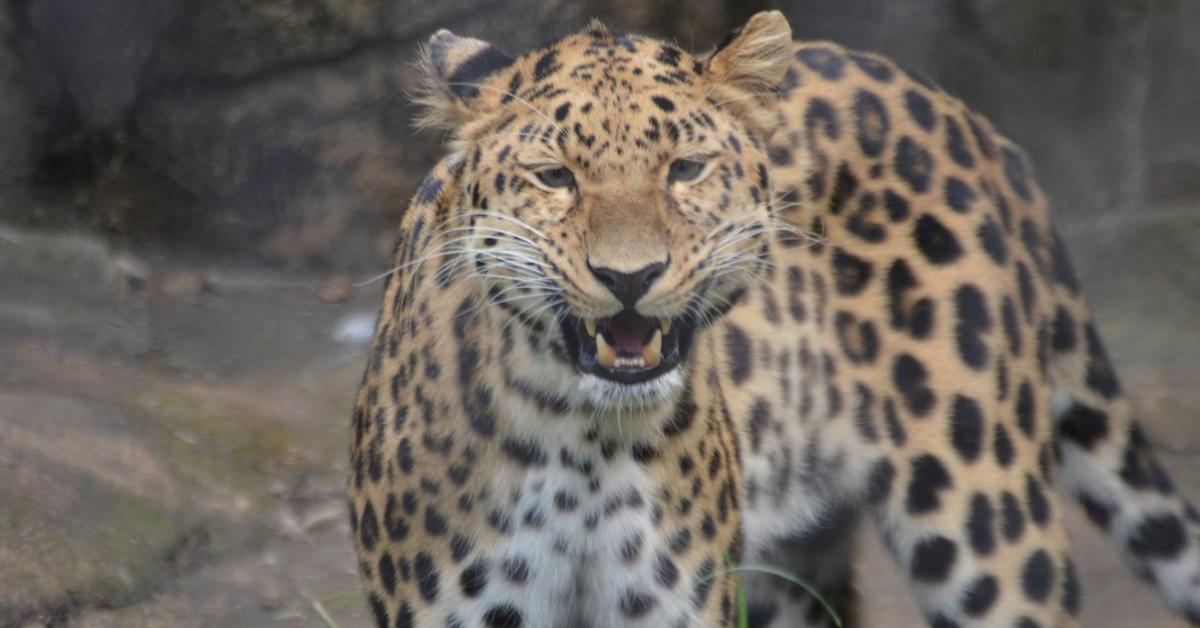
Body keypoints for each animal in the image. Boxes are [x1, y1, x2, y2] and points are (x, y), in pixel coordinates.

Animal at [350, 9, 1200, 628]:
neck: (582, 442)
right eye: (554, 177)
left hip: (990, 522)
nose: (630, 277)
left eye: (685, 169)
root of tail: (970, 120)